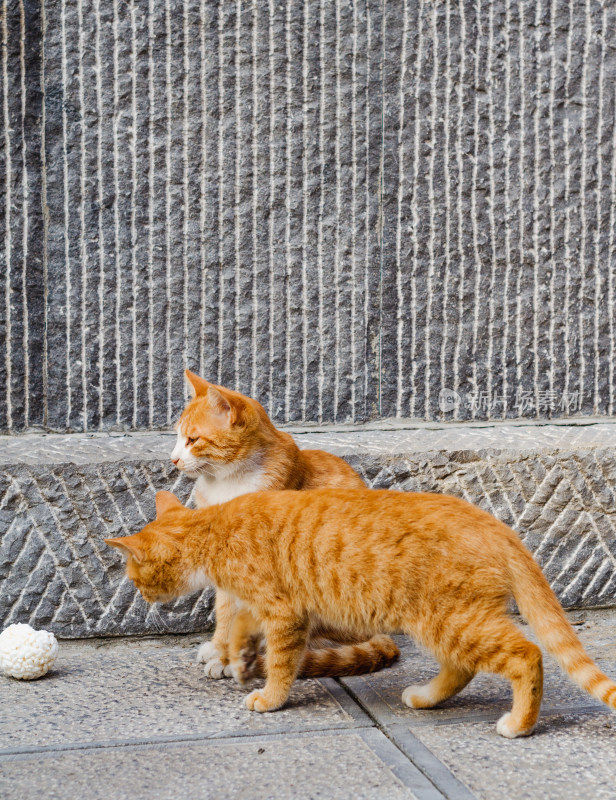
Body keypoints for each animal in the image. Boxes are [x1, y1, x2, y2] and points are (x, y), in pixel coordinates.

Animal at [106, 484, 616, 740]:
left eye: (136, 577)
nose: (141, 597)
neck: (213, 530)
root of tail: (499, 526)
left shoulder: (286, 614)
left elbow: (282, 663)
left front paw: (268, 696)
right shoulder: (268, 606)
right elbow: (241, 631)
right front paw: (237, 657)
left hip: (452, 620)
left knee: (527, 656)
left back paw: (520, 724)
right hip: (443, 623)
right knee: (462, 667)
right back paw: (426, 697)